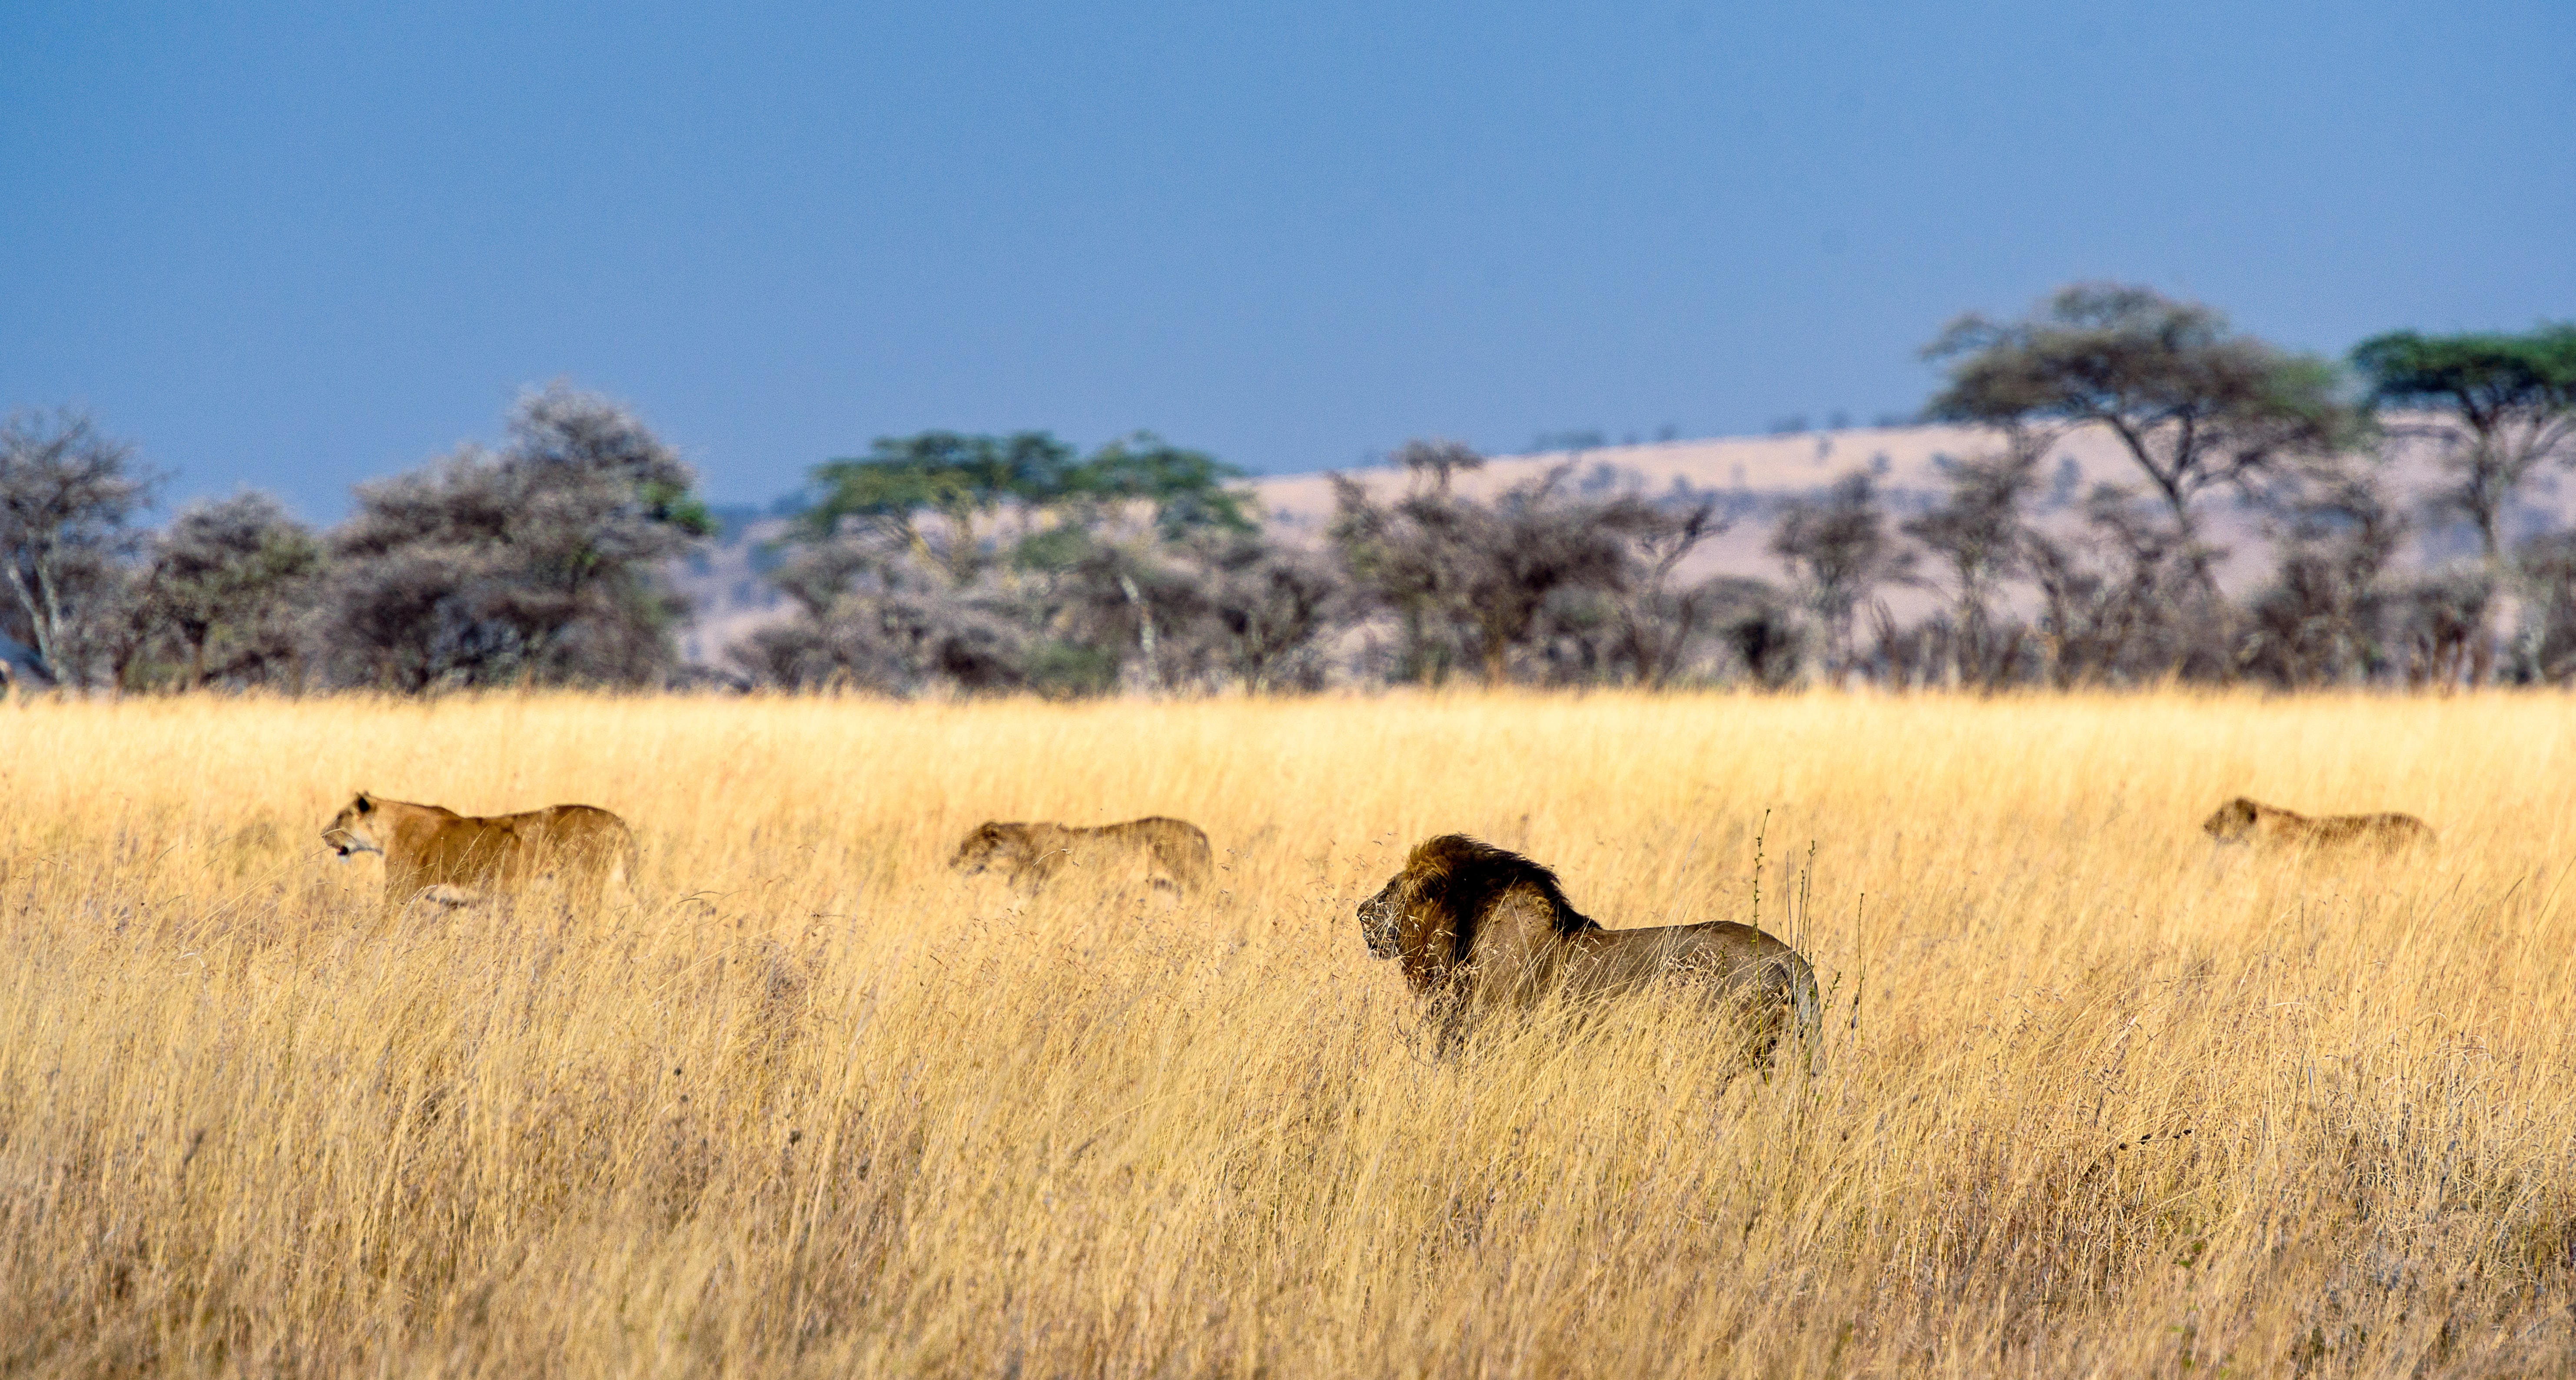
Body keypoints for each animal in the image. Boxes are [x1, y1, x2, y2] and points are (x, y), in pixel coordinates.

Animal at [318, 788, 639, 916]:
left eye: (341, 816)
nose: (323, 835)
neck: (388, 831)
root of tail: (619, 822)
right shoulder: (453, 904)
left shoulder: (401, 894)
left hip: (584, 888)